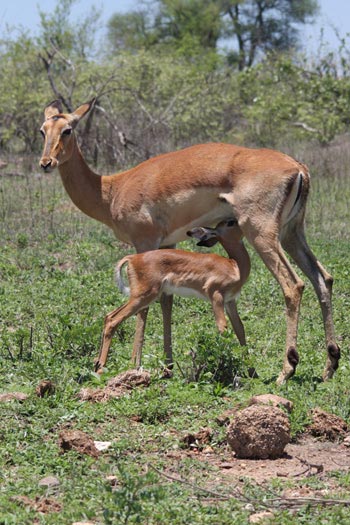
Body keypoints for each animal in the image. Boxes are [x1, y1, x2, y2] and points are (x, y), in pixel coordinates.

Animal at [95, 219, 249, 370]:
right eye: (230, 223)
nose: (243, 222)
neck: (234, 267)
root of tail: (132, 258)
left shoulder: (230, 301)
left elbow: (240, 329)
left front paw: (250, 369)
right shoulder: (216, 296)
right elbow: (223, 328)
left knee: (108, 316)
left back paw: (97, 364)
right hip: (143, 296)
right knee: (113, 320)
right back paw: (101, 368)